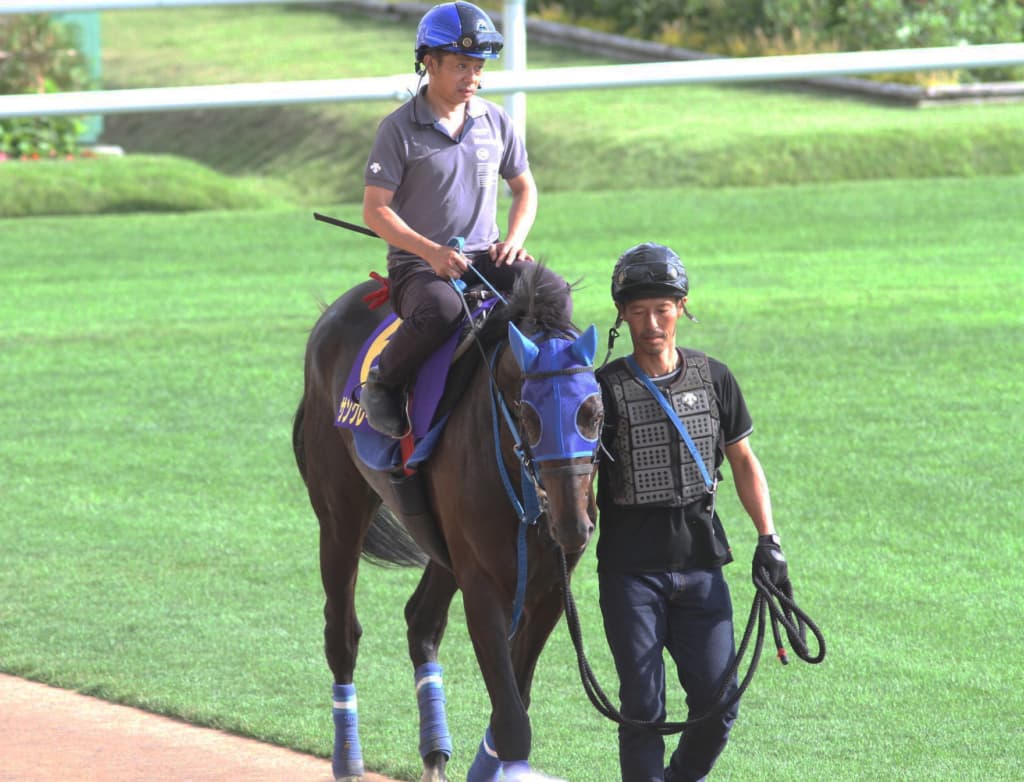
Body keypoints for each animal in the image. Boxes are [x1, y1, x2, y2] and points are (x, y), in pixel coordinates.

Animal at [292, 263, 603, 782]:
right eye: (528, 414)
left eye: (594, 413)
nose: (573, 526)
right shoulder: (483, 584)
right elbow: (512, 721)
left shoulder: (548, 587)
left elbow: (513, 705)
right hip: (339, 513)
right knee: (341, 634)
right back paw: (349, 761)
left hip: (440, 542)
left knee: (421, 622)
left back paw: (435, 754)